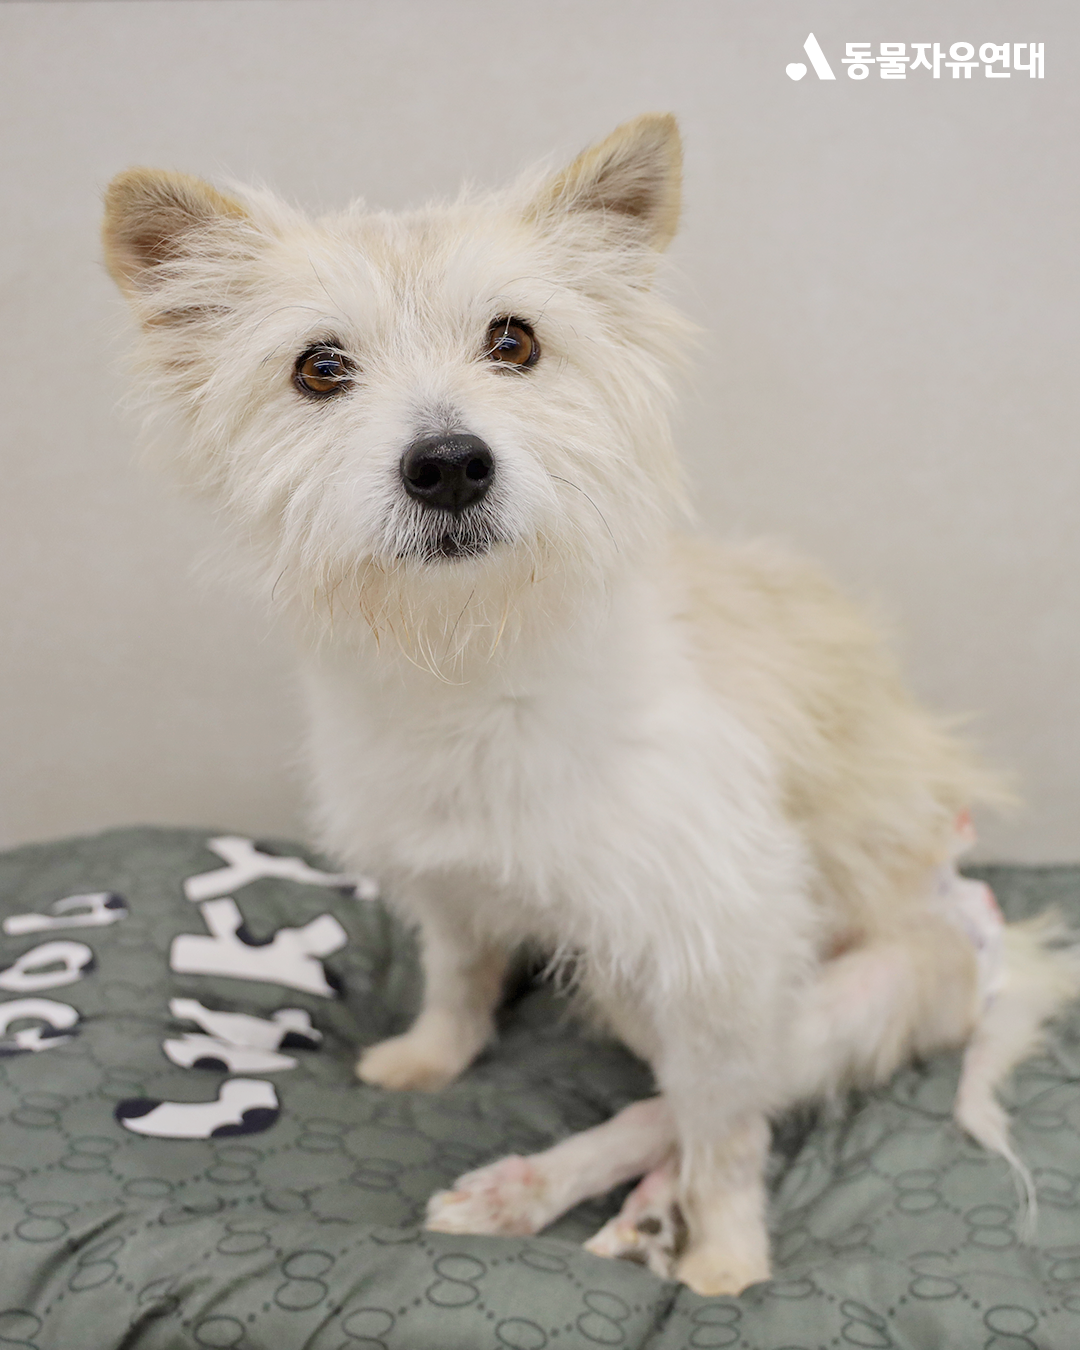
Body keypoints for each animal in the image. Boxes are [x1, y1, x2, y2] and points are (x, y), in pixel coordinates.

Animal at [102, 114, 1079, 1295]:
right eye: (319, 367)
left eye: (514, 341)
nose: (449, 464)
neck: (480, 670)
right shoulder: (447, 883)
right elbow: (459, 976)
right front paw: (434, 1055)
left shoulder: (723, 956)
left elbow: (726, 1134)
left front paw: (730, 1255)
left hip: (825, 998)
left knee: (695, 1105)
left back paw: (577, 1201)